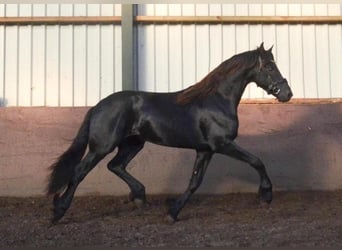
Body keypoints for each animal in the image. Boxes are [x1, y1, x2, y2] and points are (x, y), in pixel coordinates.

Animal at [46, 42, 292, 223]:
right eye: (269, 67)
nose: (287, 93)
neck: (216, 100)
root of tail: (98, 106)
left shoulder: (205, 150)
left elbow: (195, 182)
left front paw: (172, 212)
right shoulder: (222, 144)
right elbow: (256, 161)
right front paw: (266, 195)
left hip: (133, 144)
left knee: (115, 165)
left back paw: (139, 196)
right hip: (102, 146)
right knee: (80, 171)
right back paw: (58, 211)